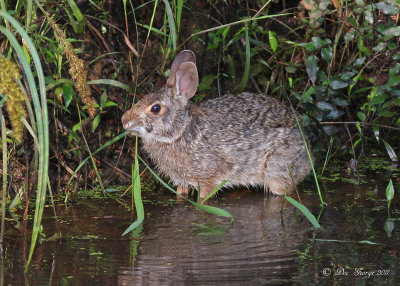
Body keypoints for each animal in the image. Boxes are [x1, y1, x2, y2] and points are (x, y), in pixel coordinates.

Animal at [122, 50, 312, 198]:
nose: (124, 121)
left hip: (276, 169)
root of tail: (309, 153)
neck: (179, 131)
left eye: (155, 108)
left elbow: (204, 198)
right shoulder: (182, 180)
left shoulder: (208, 179)